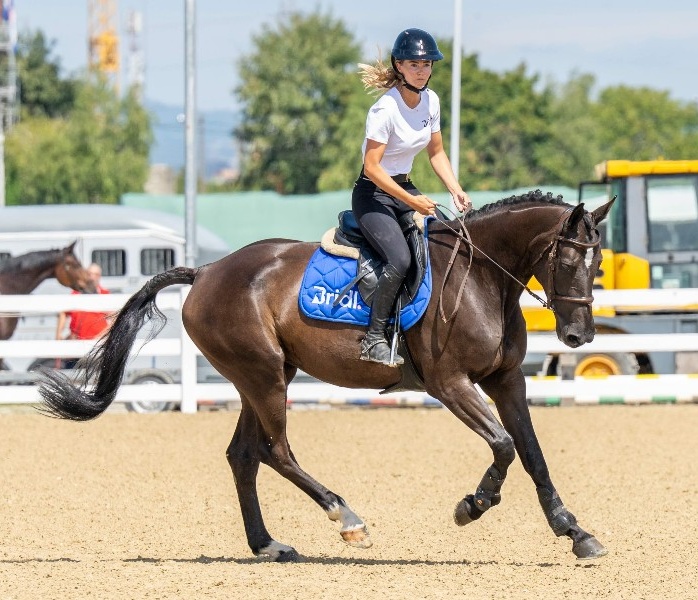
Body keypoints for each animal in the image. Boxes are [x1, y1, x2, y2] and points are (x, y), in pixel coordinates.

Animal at [39, 191, 614, 562]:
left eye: (599, 263)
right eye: (568, 261)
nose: (580, 335)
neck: (483, 279)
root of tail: (205, 272)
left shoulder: (506, 380)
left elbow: (532, 452)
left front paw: (574, 531)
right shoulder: (450, 384)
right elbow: (503, 445)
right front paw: (472, 506)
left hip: (260, 377)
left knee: (243, 455)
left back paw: (268, 544)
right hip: (266, 377)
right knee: (276, 451)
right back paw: (348, 519)